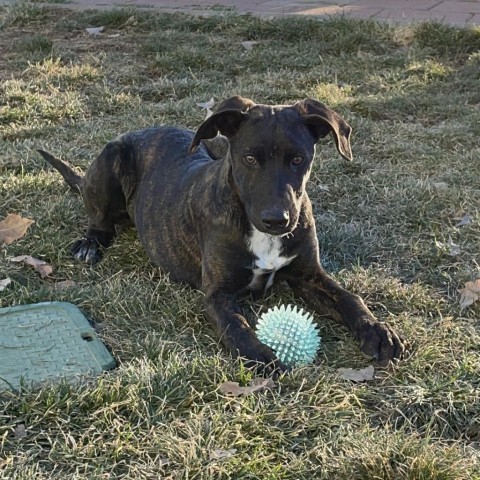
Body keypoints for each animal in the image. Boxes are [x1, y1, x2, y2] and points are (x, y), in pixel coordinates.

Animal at [38, 96, 404, 372]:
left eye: (299, 159)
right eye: (249, 158)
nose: (277, 219)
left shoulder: (309, 274)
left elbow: (349, 297)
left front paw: (377, 330)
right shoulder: (217, 294)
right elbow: (236, 326)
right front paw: (260, 355)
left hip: (210, 142)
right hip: (111, 158)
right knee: (99, 218)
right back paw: (90, 243)